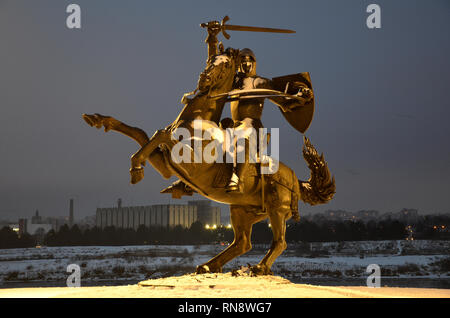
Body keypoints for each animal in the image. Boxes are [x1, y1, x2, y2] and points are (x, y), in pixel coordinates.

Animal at [82, 47, 334, 276]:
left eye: (225, 64)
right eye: (210, 59)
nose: (203, 79)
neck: (198, 122)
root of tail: (296, 179)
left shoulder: (191, 163)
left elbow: (161, 134)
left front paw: (136, 168)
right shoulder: (166, 166)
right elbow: (142, 133)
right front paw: (99, 122)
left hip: (276, 210)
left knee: (279, 242)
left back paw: (258, 268)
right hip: (241, 211)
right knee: (243, 242)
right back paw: (208, 266)